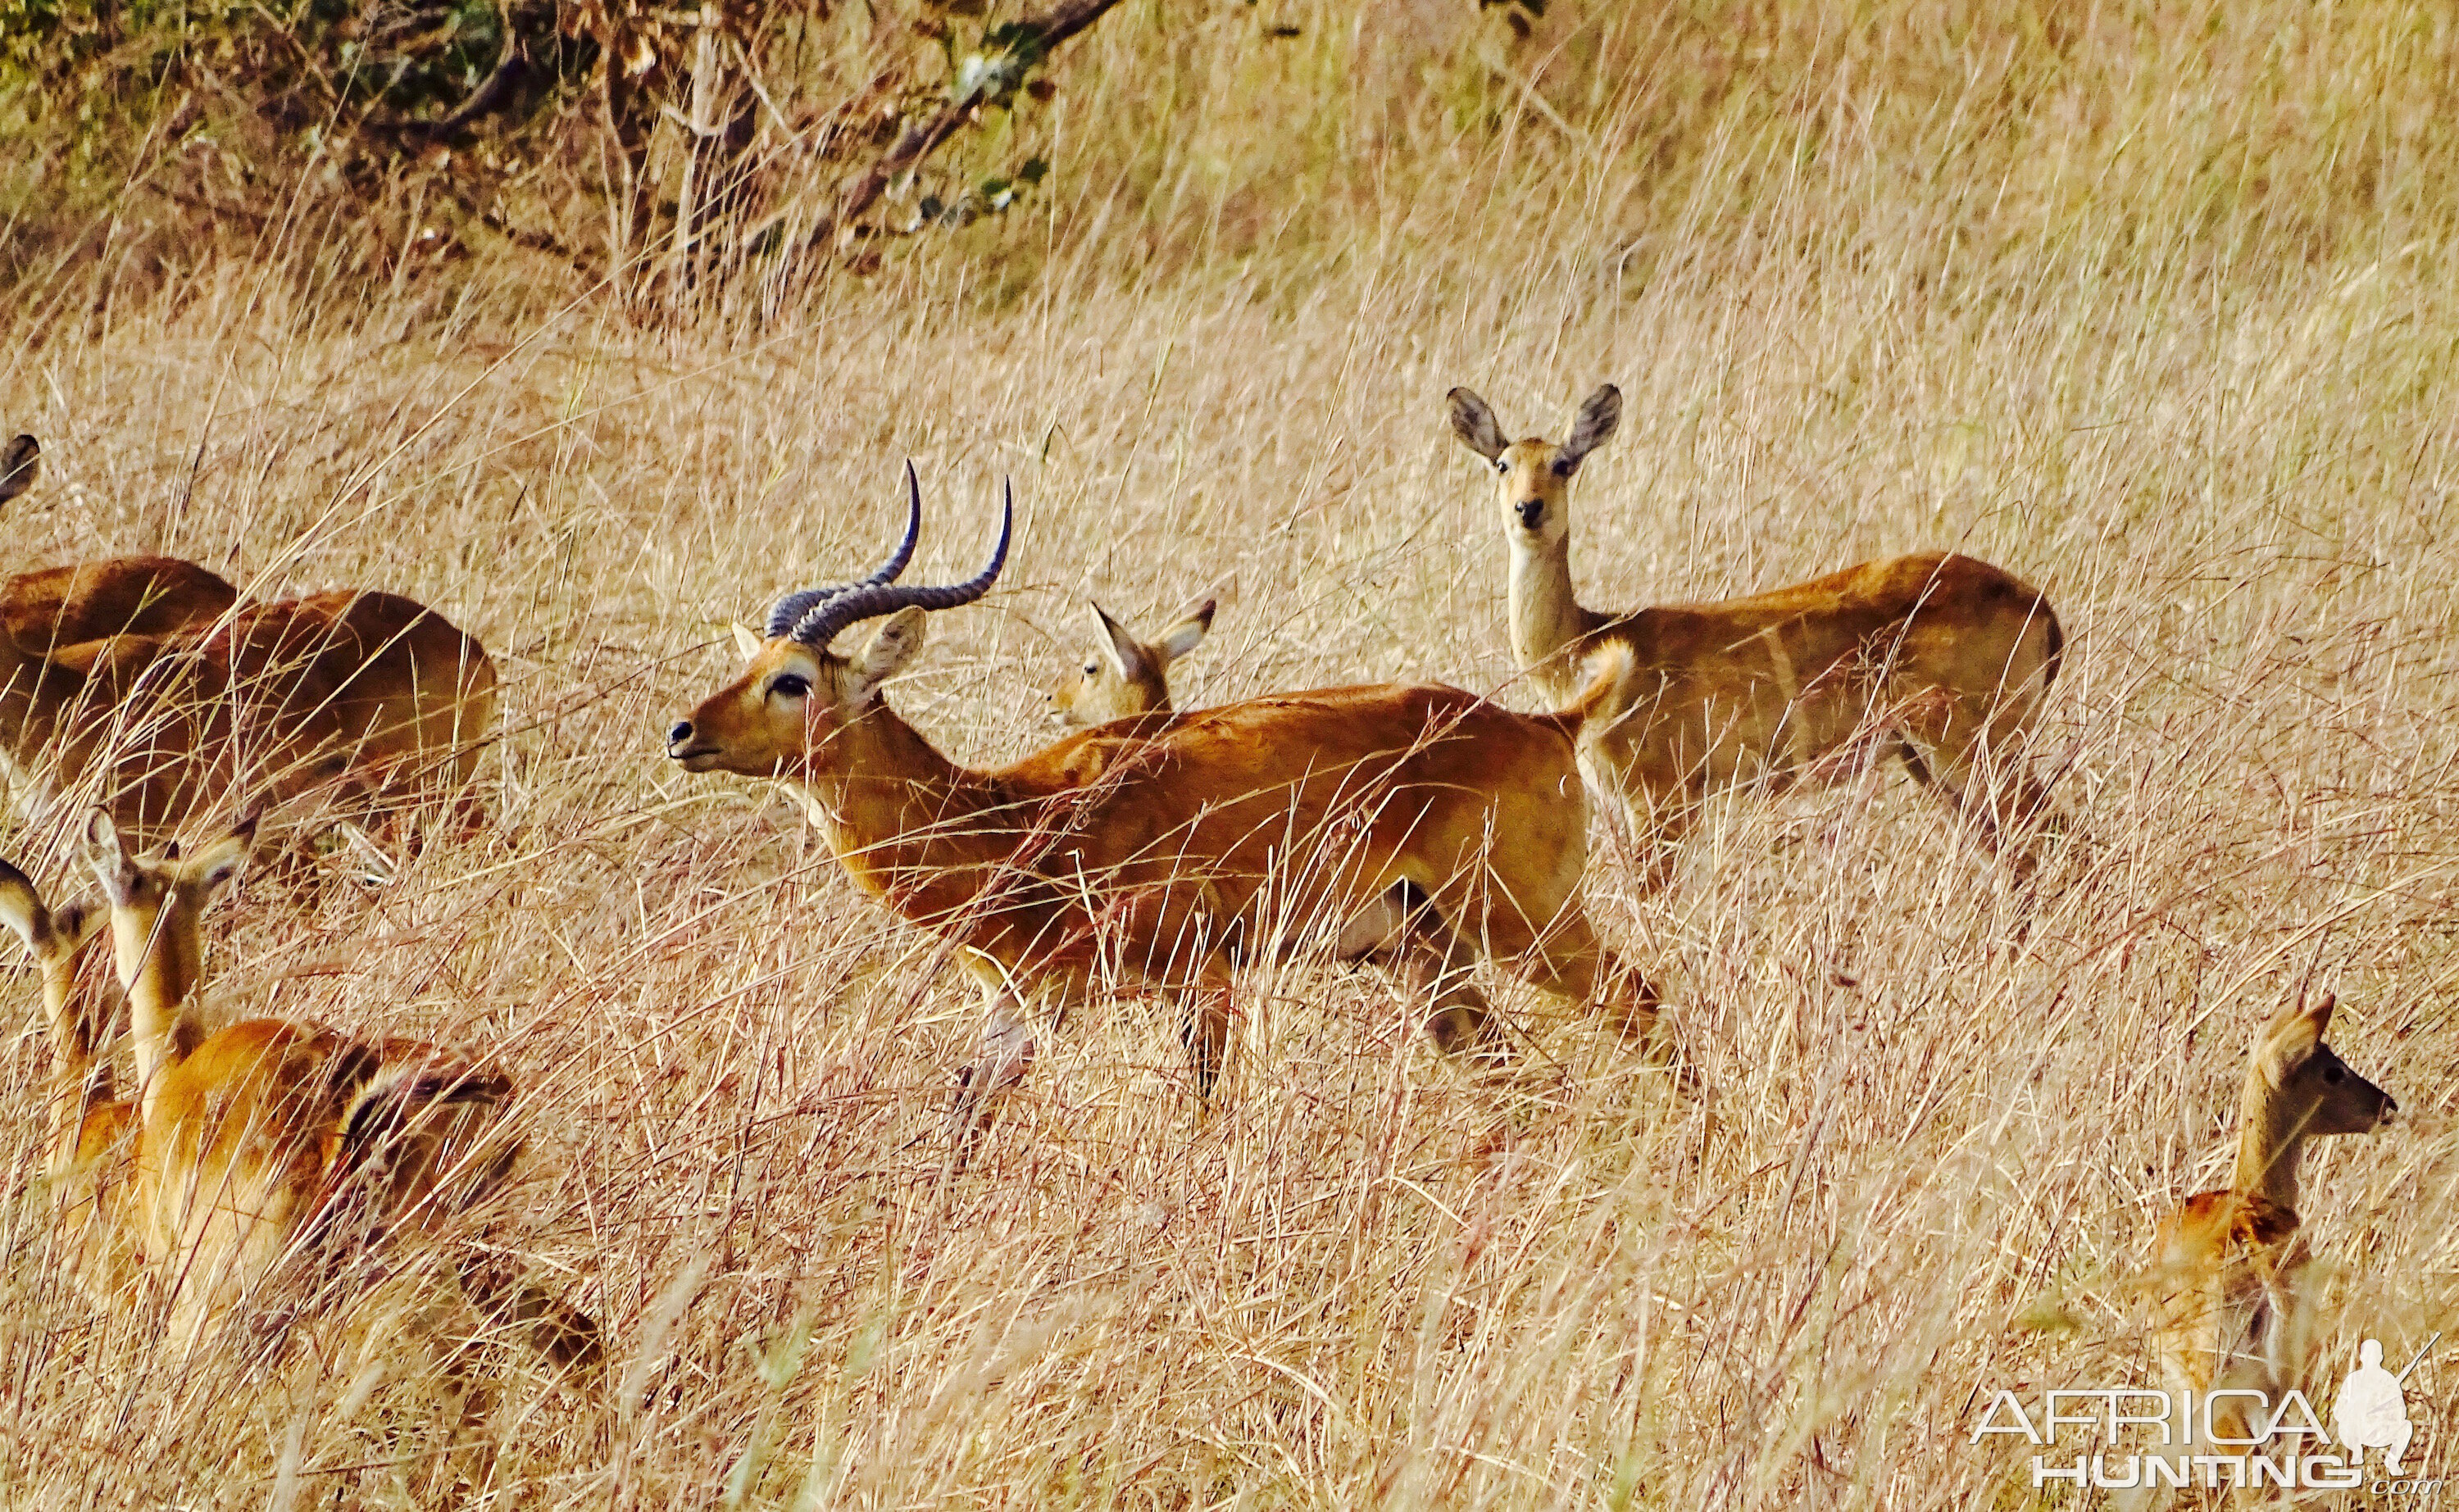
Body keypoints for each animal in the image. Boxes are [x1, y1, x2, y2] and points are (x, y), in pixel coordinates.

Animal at [1446, 384, 2066, 885]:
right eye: (1502, 463)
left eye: (1563, 463)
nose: (1529, 509)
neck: (1587, 647)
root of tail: (2039, 605)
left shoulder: (1664, 799)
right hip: (1930, 761)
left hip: (1973, 746)